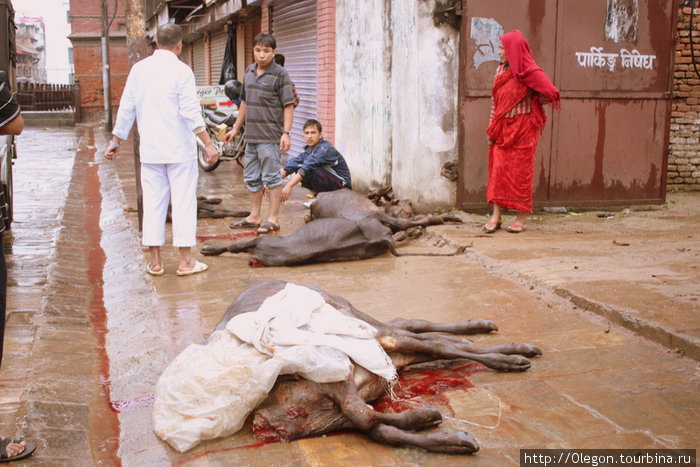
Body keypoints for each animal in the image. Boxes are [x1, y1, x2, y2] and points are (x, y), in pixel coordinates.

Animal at [220, 282, 540, 454]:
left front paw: (511, 356)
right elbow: (380, 428)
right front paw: (452, 438)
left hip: (367, 333)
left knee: (419, 335)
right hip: (374, 350)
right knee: (413, 332)